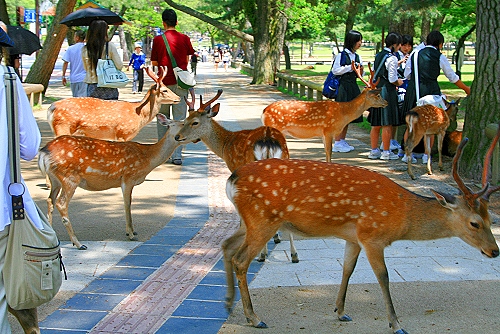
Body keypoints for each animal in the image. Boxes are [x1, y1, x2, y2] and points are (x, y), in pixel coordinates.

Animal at [37, 113, 186, 249]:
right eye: (184, 123)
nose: (181, 137)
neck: (147, 158)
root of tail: (44, 153)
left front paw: (132, 231)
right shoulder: (128, 177)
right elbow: (127, 204)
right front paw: (130, 234)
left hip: (55, 179)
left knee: (50, 200)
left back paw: (52, 237)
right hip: (69, 178)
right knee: (61, 203)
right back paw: (78, 244)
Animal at [47, 66, 180, 141]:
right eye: (165, 90)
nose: (178, 98)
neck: (139, 115)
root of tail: (51, 108)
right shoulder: (123, 132)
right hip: (63, 126)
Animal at [175, 89, 298, 264]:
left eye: (195, 122)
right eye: (185, 120)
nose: (177, 137)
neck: (225, 145)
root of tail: (268, 140)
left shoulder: (234, 167)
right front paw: (276, 237)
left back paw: (262, 255)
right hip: (285, 161)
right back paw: (294, 255)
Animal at [224, 126, 500, 334]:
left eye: (490, 219)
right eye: (475, 222)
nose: (494, 251)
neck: (401, 216)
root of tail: (231, 179)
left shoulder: (353, 237)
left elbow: (347, 269)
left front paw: (340, 312)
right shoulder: (372, 235)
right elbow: (383, 276)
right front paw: (396, 324)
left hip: (249, 222)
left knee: (226, 246)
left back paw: (228, 302)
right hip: (263, 221)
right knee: (240, 260)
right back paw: (254, 317)